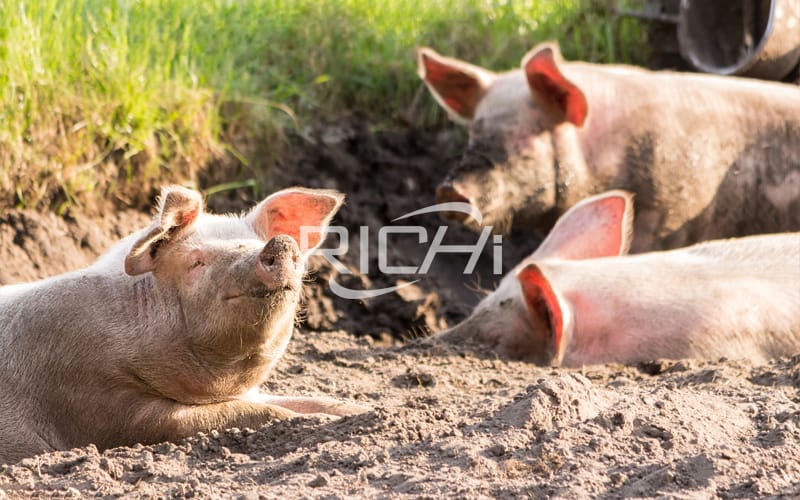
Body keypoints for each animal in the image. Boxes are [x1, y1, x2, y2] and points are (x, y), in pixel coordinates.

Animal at [0, 185, 368, 464]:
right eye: (196, 262)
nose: (279, 243)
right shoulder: (98, 402)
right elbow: (244, 414)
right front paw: (318, 421)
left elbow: (308, 400)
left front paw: (363, 410)